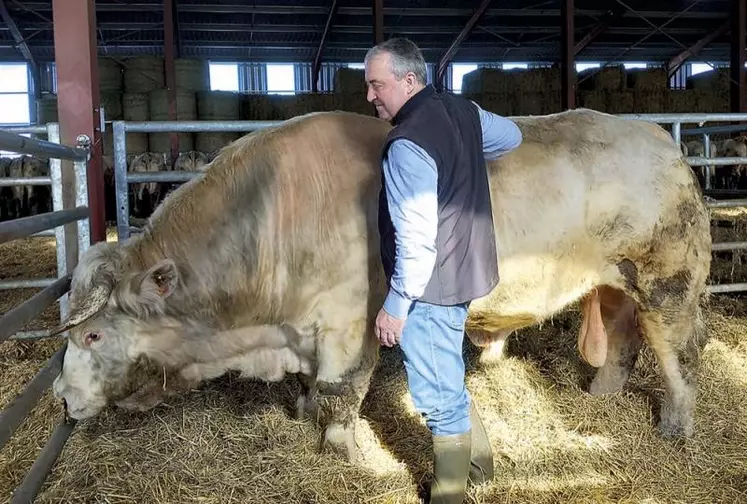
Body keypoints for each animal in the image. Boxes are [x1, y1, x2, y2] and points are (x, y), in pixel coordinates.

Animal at [51, 108, 712, 462]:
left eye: (92, 337)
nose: (59, 397)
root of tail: (661, 139)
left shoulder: (349, 321)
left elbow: (341, 390)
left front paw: (340, 450)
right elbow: (312, 387)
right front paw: (302, 410)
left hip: (669, 280)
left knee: (677, 353)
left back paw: (677, 425)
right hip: (616, 283)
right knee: (622, 339)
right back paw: (601, 393)